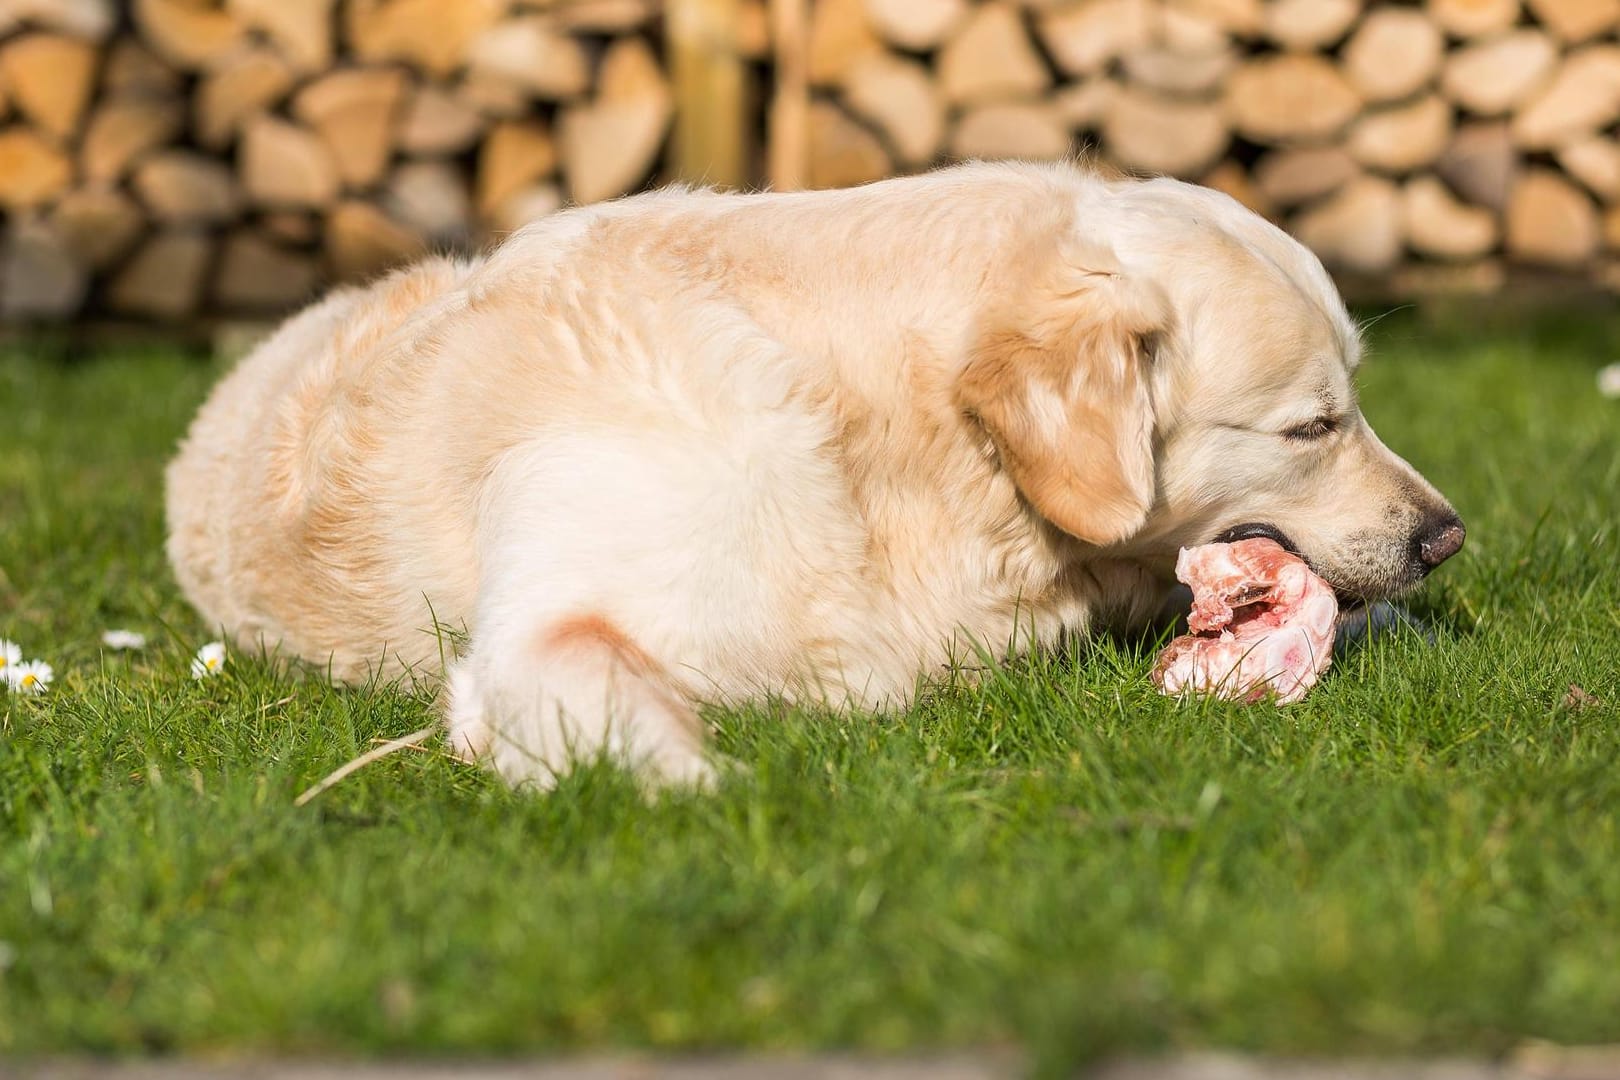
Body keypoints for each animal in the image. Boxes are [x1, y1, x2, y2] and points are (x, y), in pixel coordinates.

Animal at [167, 158, 1470, 786]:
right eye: (1312, 426)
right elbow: (610, 695)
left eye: (1352, 404)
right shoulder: (545, 627)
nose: (1446, 535)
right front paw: (721, 793)